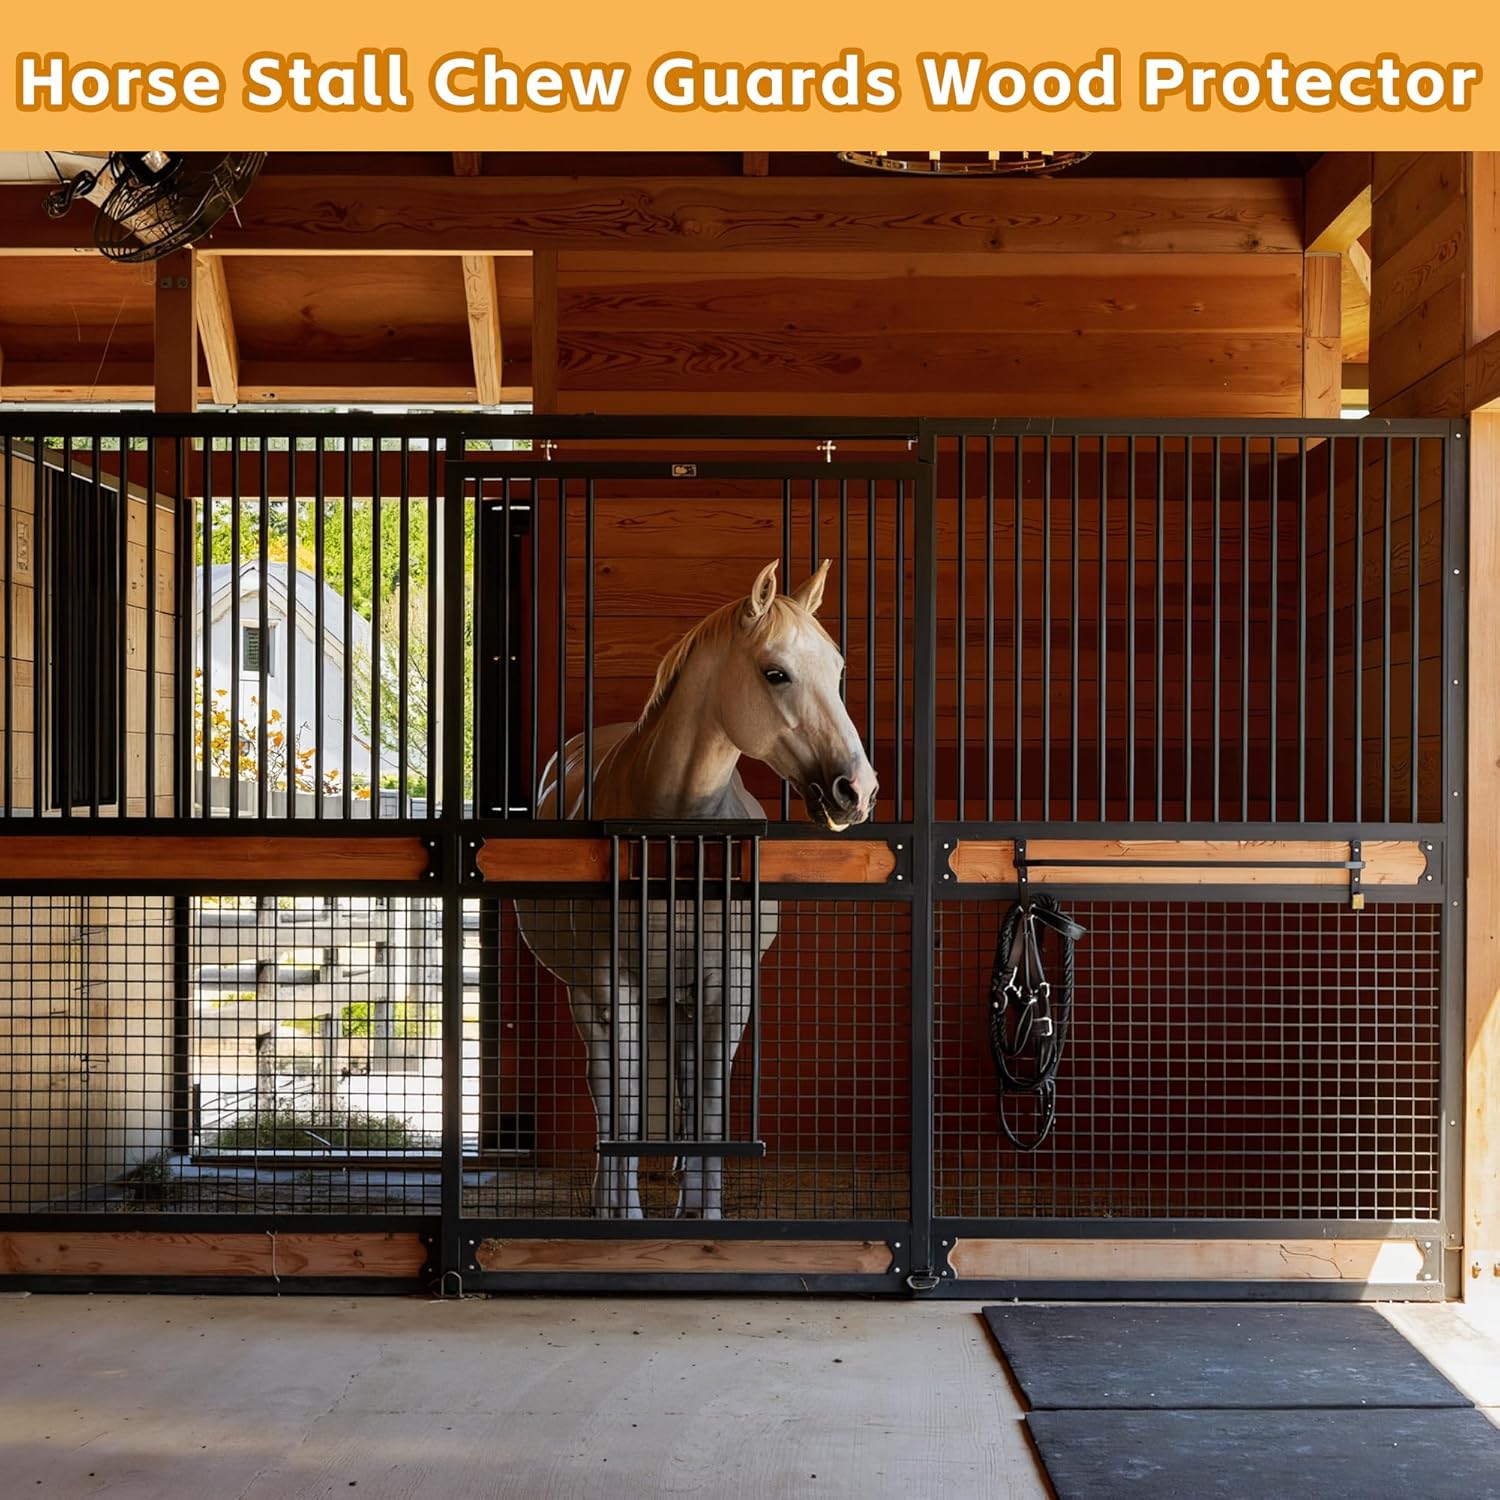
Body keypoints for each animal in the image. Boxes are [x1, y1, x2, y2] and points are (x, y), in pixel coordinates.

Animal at [513, 559, 878, 1218]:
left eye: (837, 671)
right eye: (775, 673)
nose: (857, 790)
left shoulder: (725, 987)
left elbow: (709, 1102)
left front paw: (702, 1213)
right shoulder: (614, 987)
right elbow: (626, 1107)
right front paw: (627, 1214)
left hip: (681, 996)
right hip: (591, 997)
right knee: (605, 1086)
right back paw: (607, 1197)